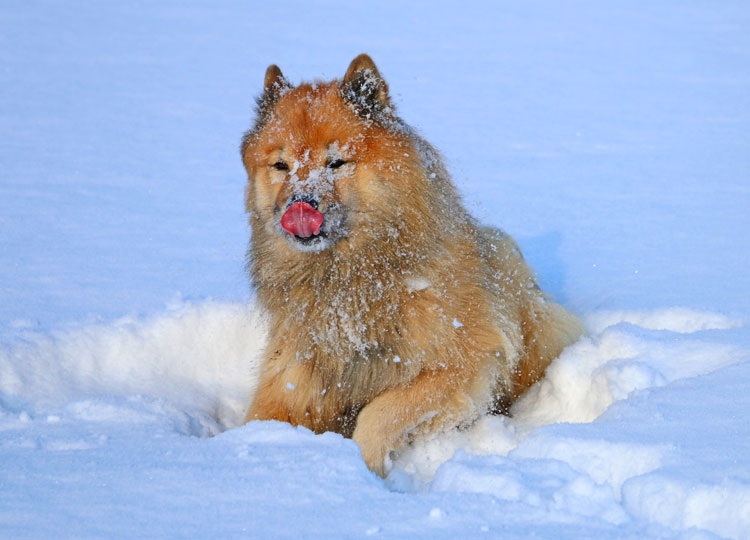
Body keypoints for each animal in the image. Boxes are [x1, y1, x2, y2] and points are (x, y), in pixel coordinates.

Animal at [241, 53, 580, 476]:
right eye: (281, 165)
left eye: (336, 162)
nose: (300, 205)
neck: (350, 283)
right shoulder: (291, 381)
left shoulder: (466, 362)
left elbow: (378, 413)